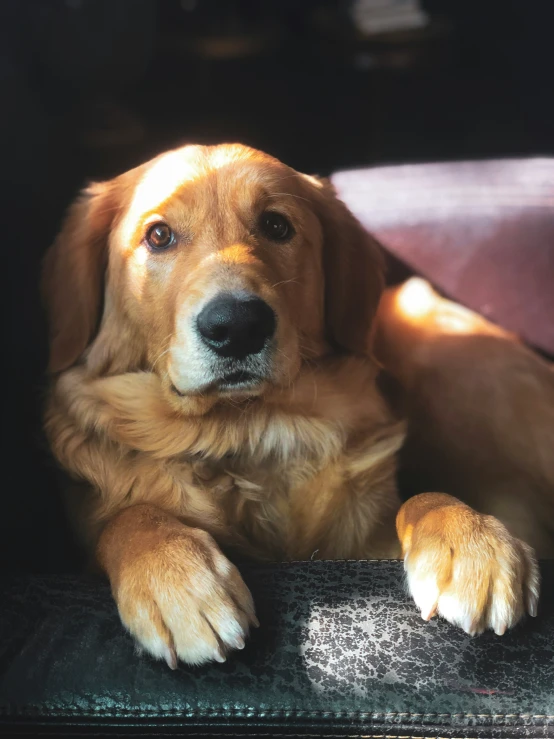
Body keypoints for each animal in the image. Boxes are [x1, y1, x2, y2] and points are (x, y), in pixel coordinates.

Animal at [43, 142, 552, 668]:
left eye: (276, 226)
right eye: (159, 236)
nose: (237, 326)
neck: (245, 432)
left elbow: (422, 498)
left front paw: (471, 538)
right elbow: (130, 518)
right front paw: (173, 574)